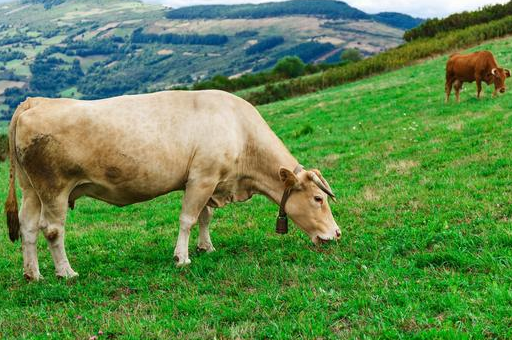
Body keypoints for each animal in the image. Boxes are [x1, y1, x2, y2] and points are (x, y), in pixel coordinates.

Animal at [6, 89, 342, 278]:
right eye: (318, 199)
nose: (337, 233)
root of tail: (34, 102)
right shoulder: (202, 177)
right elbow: (188, 219)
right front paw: (182, 258)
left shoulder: (208, 181)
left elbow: (205, 217)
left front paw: (207, 247)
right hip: (54, 189)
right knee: (52, 230)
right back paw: (66, 272)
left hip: (31, 189)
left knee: (28, 228)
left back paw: (33, 274)